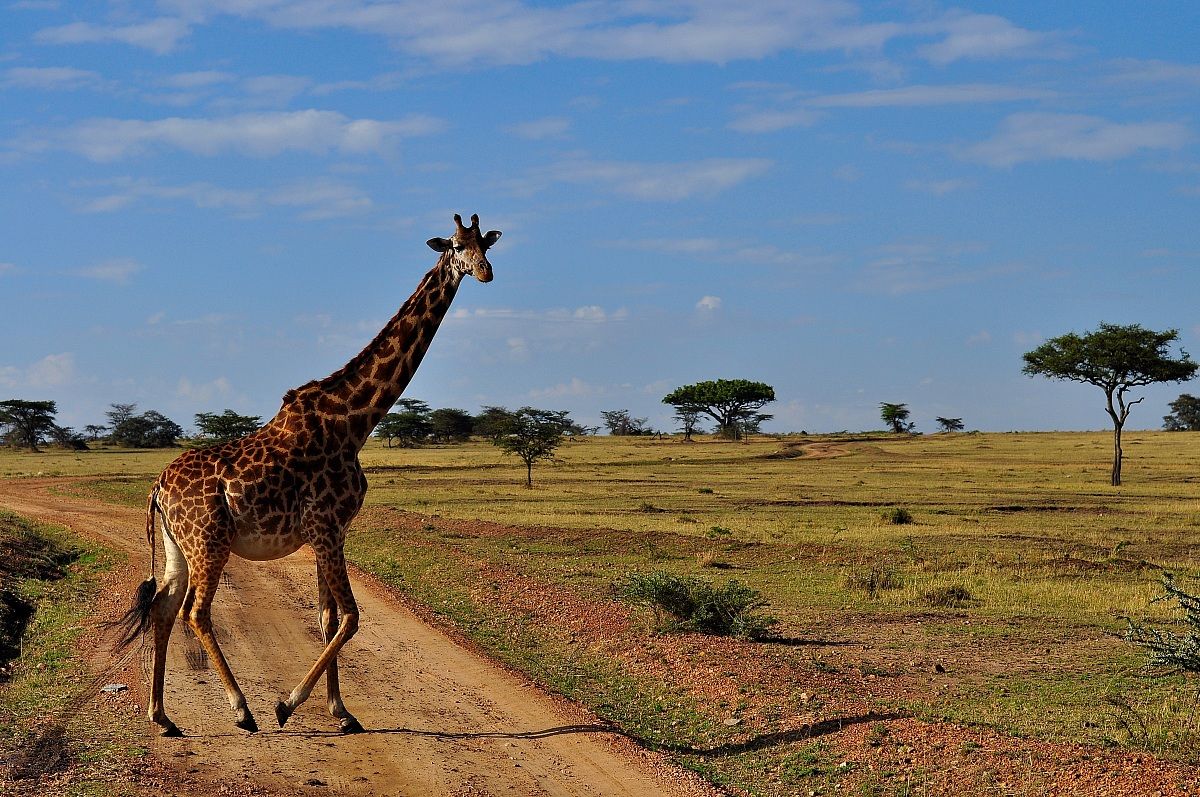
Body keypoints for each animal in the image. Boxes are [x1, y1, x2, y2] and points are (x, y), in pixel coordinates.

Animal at [112, 213, 501, 737]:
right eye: (457, 246)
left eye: (486, 244)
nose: (485, 273)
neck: (356, 420)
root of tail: (157, 489)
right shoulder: (326, 525)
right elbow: (351, 617)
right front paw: (288, 704)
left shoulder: (328, 531)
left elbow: (328, 618)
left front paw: (341, 711)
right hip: (209, 542)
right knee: (197, 612)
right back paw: (243, 710)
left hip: (178, 548)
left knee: (163, 609)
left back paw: (162, 716)